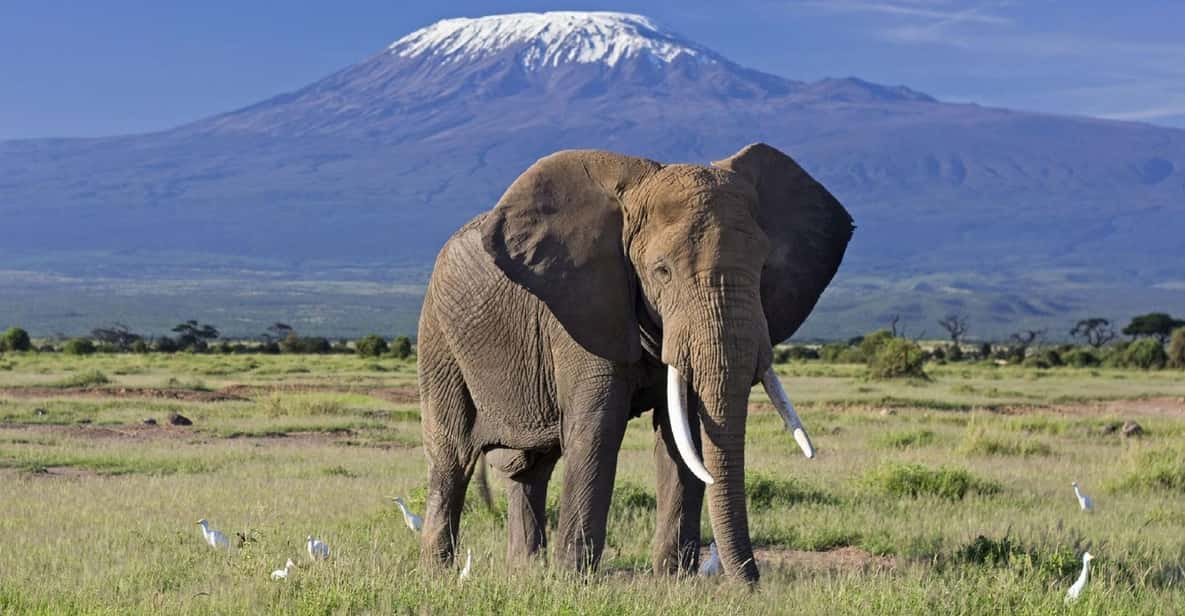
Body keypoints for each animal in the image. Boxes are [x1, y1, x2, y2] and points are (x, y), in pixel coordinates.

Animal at [417, 142, 853, 580]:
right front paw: (575, 580)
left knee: (531, 467)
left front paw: (674, 581)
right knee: (452, 456)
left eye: (763, 268)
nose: (751, 585)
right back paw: (440, 573)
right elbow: (599, 429)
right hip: (437, 337)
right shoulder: (583, 309)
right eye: (662, 272)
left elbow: (683, 434)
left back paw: (526, 572)